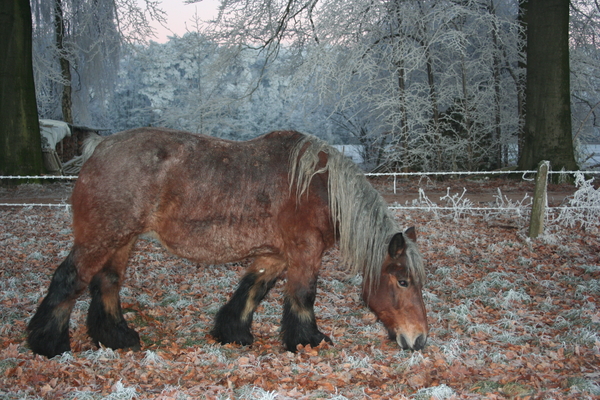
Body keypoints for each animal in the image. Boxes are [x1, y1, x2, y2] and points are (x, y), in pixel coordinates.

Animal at [24, 126, 426, 358]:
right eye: (403, 281)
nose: (420, 340)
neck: (318, 187)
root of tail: (99, 147)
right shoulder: (305, 253)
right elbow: (303, 296)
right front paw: (307, 341)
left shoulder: (275, 255)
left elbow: (251, 290)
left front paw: (232, 334)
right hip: (102, 238)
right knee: (68, 280)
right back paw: (49, 345)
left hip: (121, 241)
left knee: (106, 283)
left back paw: (117, 338)